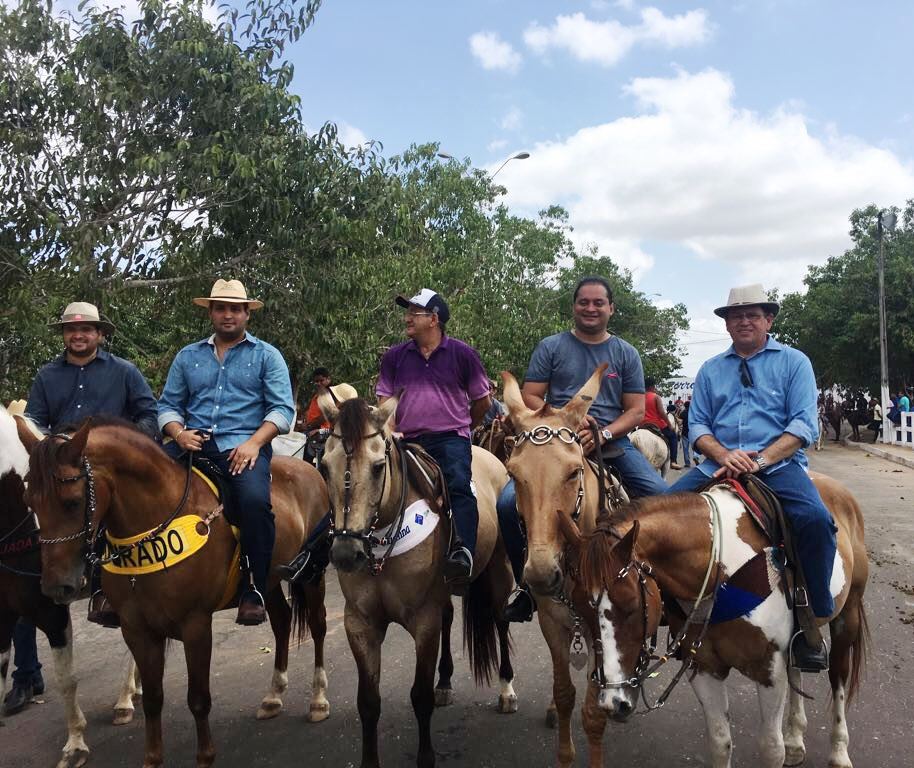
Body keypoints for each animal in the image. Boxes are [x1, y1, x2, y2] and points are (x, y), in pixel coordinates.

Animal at [16, 420, 332, 768]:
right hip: (269, 580)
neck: (156, 519)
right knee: (281, 621)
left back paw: (318, 700)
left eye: (72, 501)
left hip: (312, 576)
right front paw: (152, 758)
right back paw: (274, 695)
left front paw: (205, 757)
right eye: (29, 501)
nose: (56, 586)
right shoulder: (137, 629)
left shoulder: (196, 626)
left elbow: (198, 698)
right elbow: (153, 699)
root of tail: (308, 468)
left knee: (317, 626)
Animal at [316, 400, 512, 764]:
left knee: (500, 617)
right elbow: (368, 701)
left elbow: (420, 696)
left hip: (499, 569)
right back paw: (445, 682)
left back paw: (507, 689)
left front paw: (426, 757)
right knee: (449, 616)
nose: (347, 553)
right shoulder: (359, 623)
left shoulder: (423, 620)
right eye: (323, 466)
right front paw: (369, 760)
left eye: (378, 467)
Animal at [498, 364, 628, 768]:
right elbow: (564, 691)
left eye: (573, 473)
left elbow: (593, 712)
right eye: (514, 473)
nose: (541, 574)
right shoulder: (551, 621)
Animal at [580, 480, 864, 768]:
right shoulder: (705, 668)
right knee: (797, 668)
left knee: (838, 675)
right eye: (586, 610)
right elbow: (720, 743)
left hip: (847, 615)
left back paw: (839, 752)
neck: (719, 569)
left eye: (631, 604)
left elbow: (771, 749)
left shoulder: (769, 670)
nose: (613, 703)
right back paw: (795, 740)